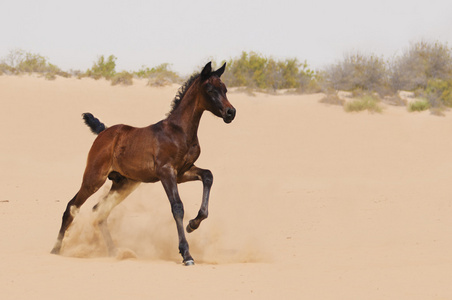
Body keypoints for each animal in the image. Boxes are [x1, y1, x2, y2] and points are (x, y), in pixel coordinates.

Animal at [51, 61, 237, 264]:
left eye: (225, 89)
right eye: (210, 89)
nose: (231, 112)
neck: (179, 131)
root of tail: (104, 131)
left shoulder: (182, 172)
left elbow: (208, 176)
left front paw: (193, 224)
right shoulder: (166, 172)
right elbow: (177, 207)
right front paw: (186, 253)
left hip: (124, 184)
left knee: (100, 211)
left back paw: (114, 252)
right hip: (94, 178)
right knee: (72, 207)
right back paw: (56, 249)